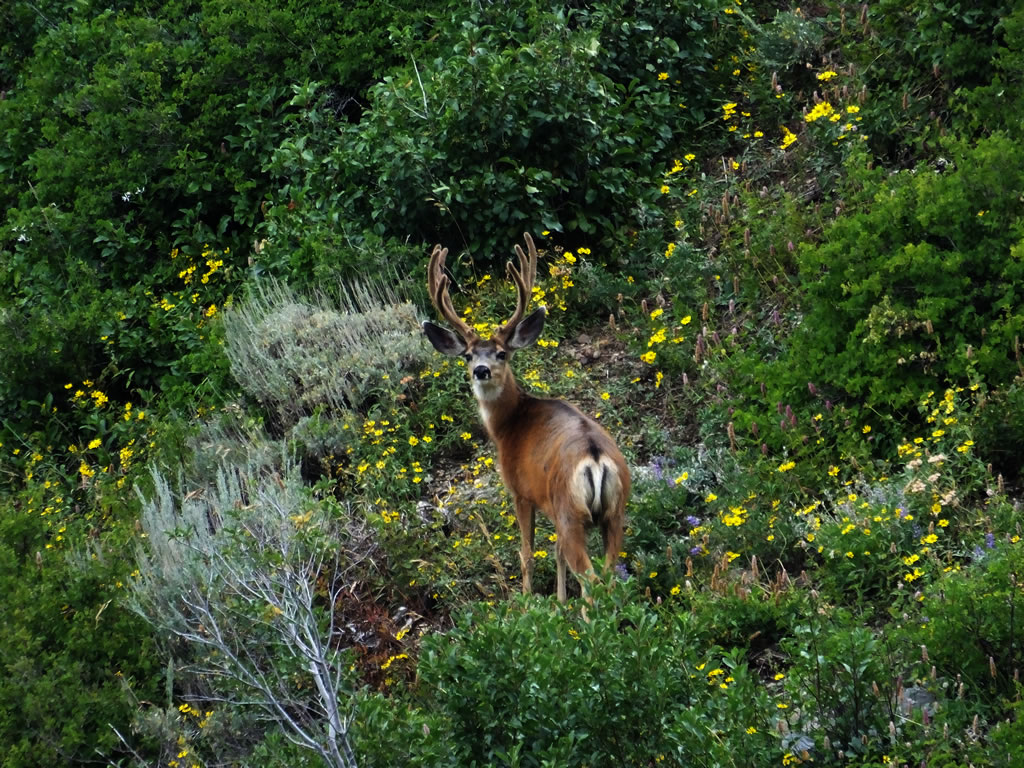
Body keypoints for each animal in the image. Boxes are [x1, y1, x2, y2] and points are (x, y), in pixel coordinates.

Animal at [422, 233, 630, 603]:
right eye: (468, 355)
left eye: (502, 353)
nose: (481, 370)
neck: (509, 425)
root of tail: (595, 457)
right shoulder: (551, 506)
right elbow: (557, 555)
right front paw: (559, 602)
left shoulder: (521, 491)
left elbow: (528, 553)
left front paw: (528, 601)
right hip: (614, 512)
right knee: (607, 575)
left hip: (571, 511)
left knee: (591, 579)